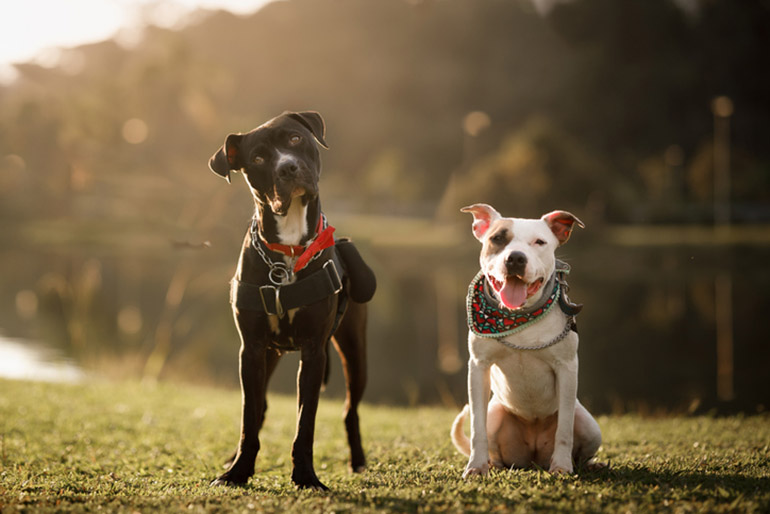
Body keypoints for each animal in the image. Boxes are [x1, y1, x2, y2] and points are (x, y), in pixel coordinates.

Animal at [204, 111, 372, 488]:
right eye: (258, 158)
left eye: (295, 139)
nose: (288, 168)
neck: (290, 250)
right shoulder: (251, 349)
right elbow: (249, 417)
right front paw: (237, 472)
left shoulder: (313, 351)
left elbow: (305, 422)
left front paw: (307, 477)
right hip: (269, 353)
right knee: (261, 406)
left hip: (354, 350)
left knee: (350, 409)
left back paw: (357, 461)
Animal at [450, 204, 600, 476]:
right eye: (497, 239)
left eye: (539, 242)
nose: (516, 258)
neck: (518, 317)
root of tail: (533, 457)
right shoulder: (478, 367)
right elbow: (477, 427)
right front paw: (476, 467)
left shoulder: (567, 368)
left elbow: (564, 428)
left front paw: (562, 466)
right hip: (495, 412)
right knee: (494, 446)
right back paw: (492, 463)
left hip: (590, 425)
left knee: (581, 450)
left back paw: (590, 464)